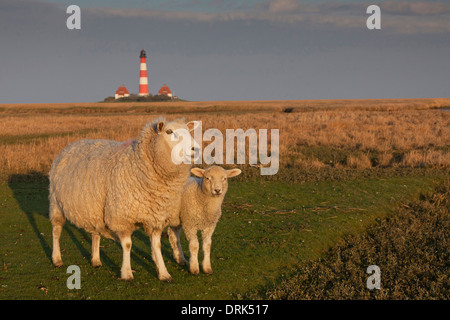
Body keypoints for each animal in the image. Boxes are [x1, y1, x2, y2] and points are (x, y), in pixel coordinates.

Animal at [48, 117, 198, 280]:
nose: (195, 149)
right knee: (56, 231)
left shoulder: (156, 216)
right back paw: (57, 259)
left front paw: (163, 273)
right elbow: (127, 245)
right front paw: (126, 273)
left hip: (95, 207)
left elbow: (156, 245)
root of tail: (71, 145)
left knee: (95, 232)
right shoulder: (122, 217)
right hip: (56, 204)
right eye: (169, 131)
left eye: (188, 131)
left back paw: (96, 260)